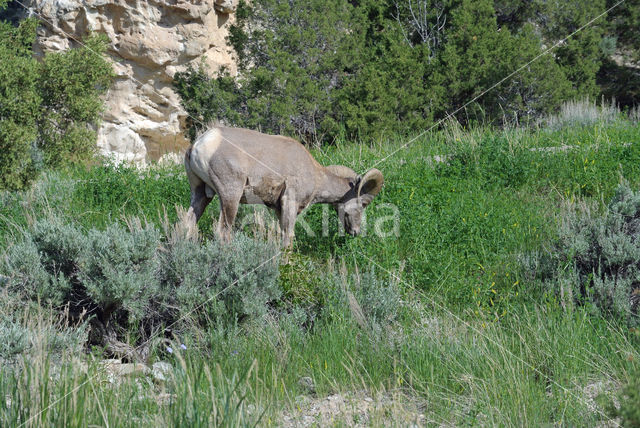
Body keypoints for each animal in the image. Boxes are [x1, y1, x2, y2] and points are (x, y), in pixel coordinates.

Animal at [185, 126, 384, 247]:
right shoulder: (290, 203)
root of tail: (199, 144)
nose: (356, 232)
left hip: (201, 194)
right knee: (223, 232)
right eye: (363, 204)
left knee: (187, 224)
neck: (315, 174)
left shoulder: (278, 209)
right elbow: (288, 238)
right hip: (230, 196)